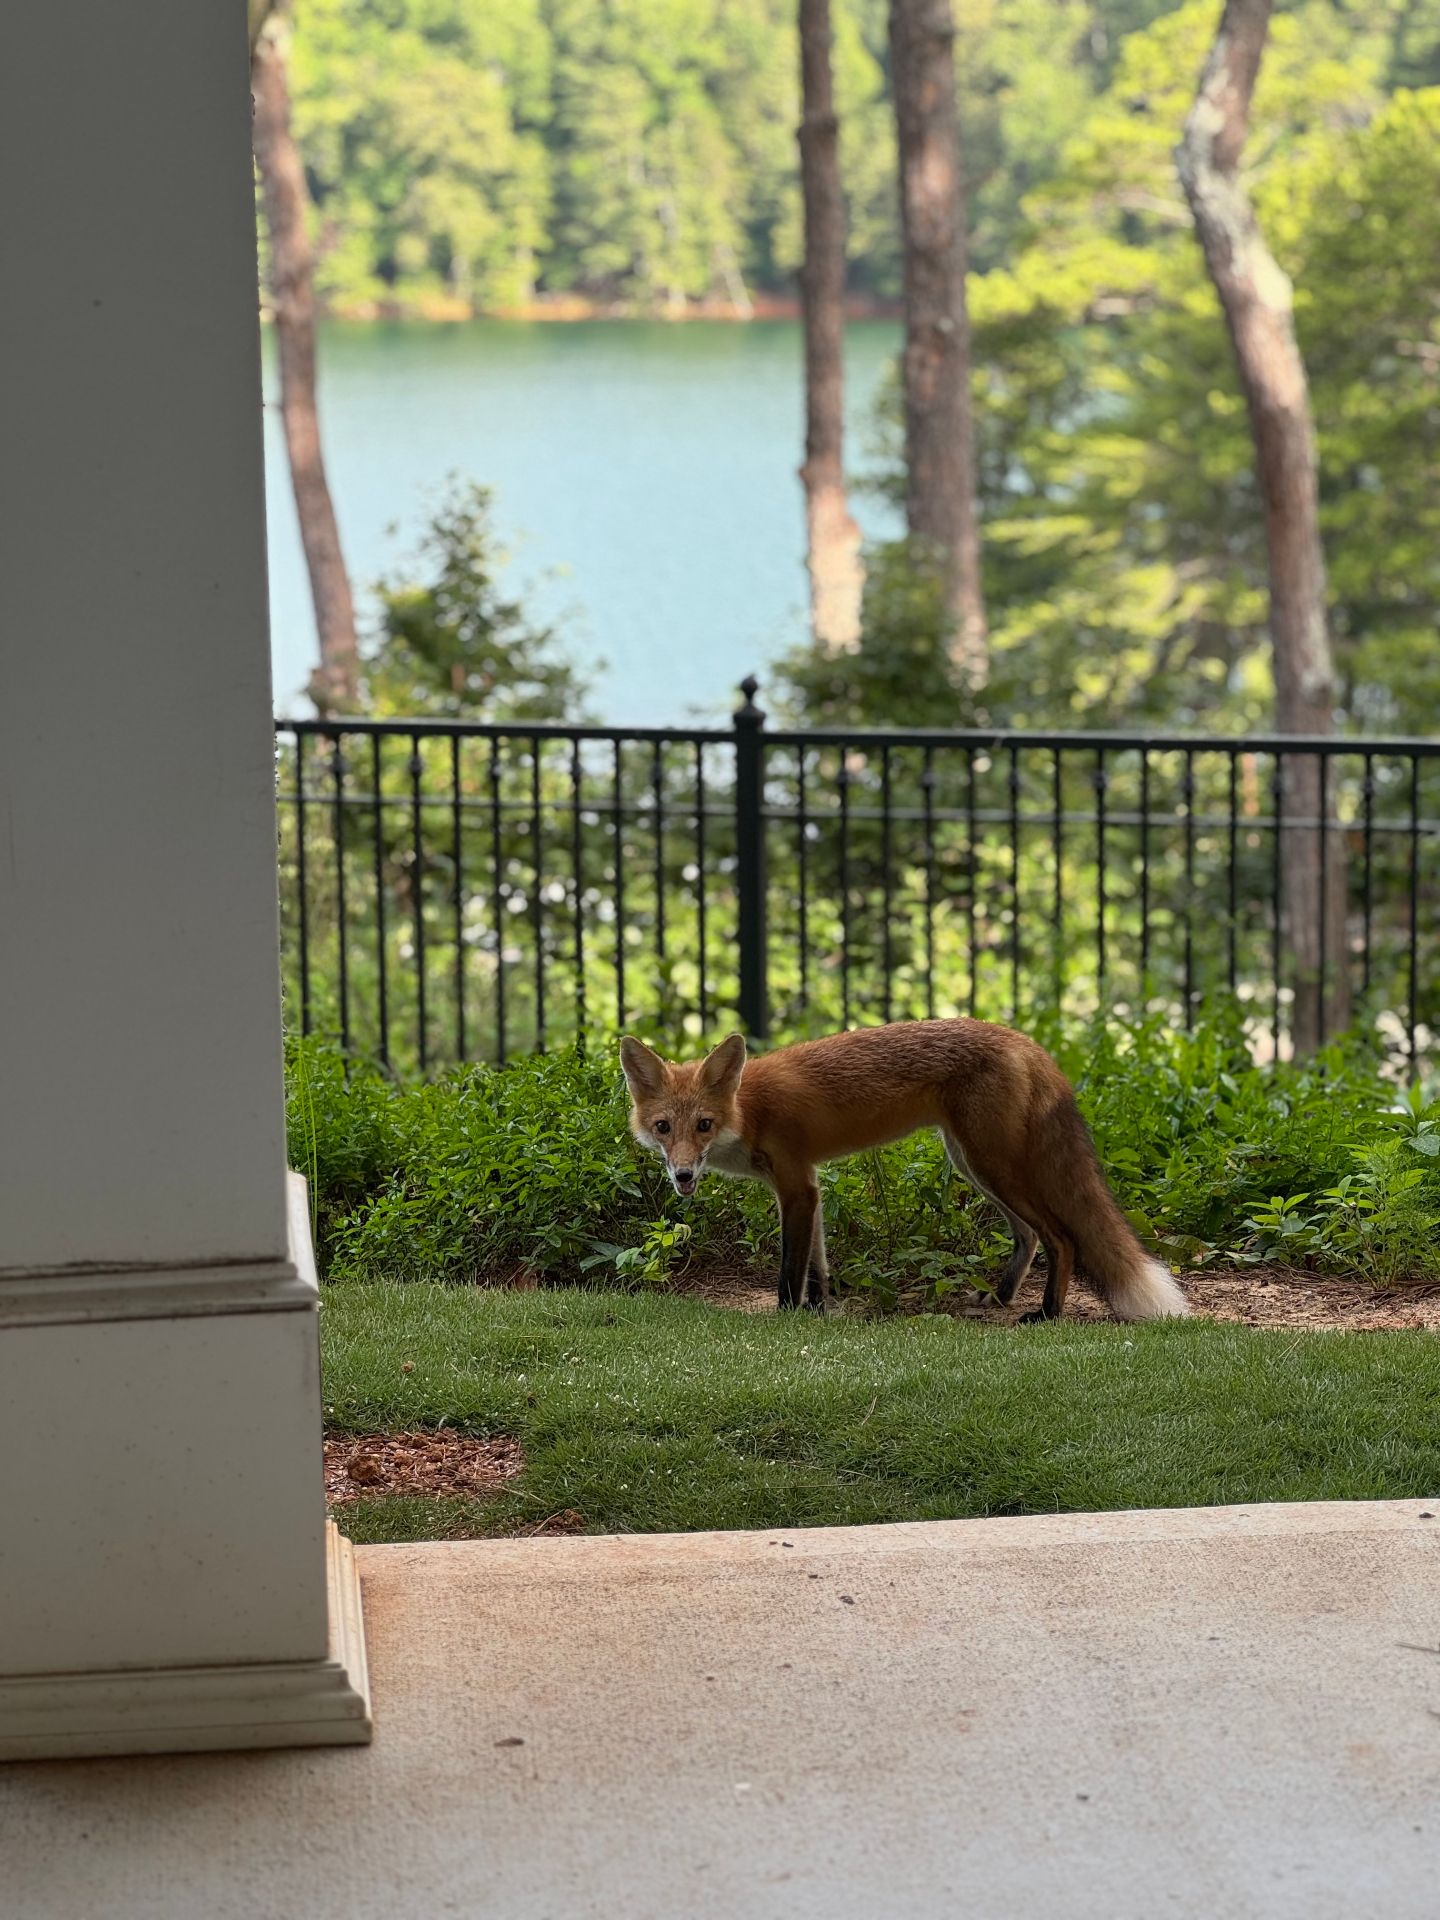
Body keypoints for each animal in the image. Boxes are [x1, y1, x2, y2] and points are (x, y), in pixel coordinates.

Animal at [619, 1018, 1190, 1323]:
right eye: (665, 1127)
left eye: (705, 1125)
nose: (683, 1177)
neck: (750, 1111)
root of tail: (1022, 1038)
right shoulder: (812, 1186)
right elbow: (818, 1266)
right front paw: (820, 1310)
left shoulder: (796, 1187)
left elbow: (789, 1270)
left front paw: (787, 1317)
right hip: (971, 1163)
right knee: (1027, 1236)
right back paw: (1001, 1297)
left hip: (991, 1162)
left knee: (1061, 1238)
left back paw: (1046, 1314)